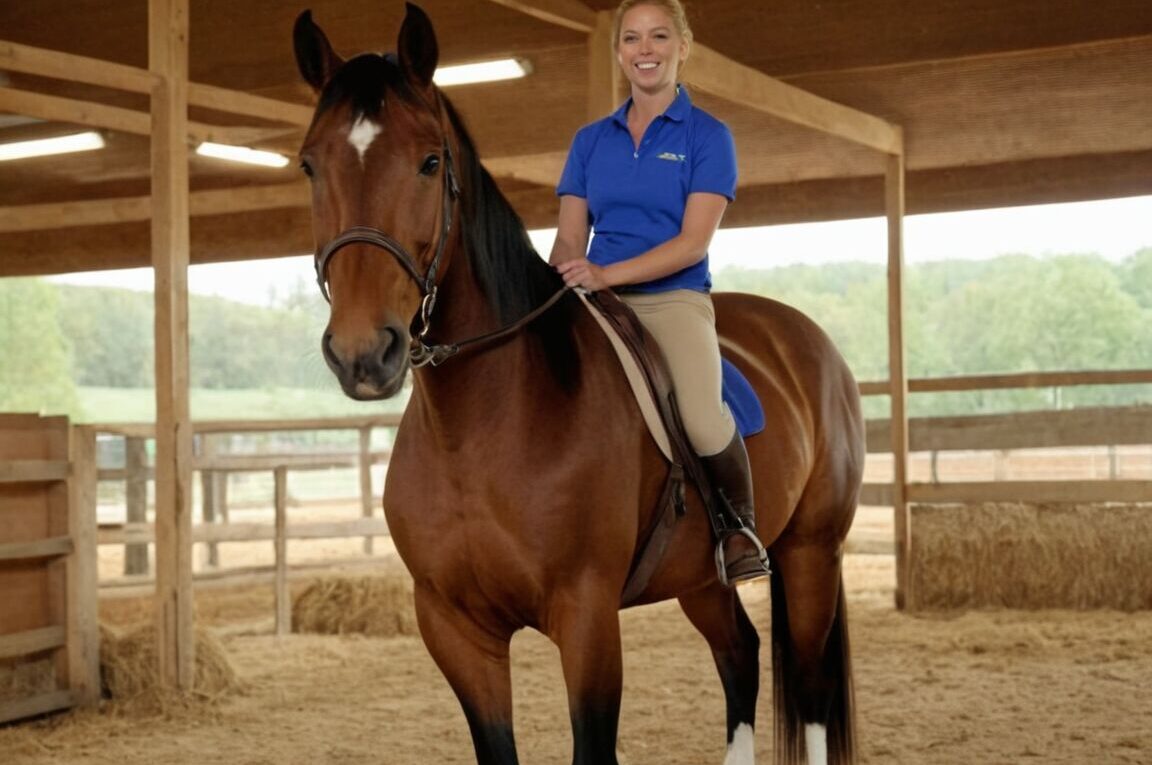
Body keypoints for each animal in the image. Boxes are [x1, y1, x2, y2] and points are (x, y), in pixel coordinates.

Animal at [293, 5, 864, 763]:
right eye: (309, 164)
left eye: (430, 161)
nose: (363, 352)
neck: (480, 428)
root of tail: (811, 341)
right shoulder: (453, 627)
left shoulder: (586, 616)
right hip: (701, 578)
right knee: (739, 654)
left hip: (810, 554)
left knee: (809, 685)